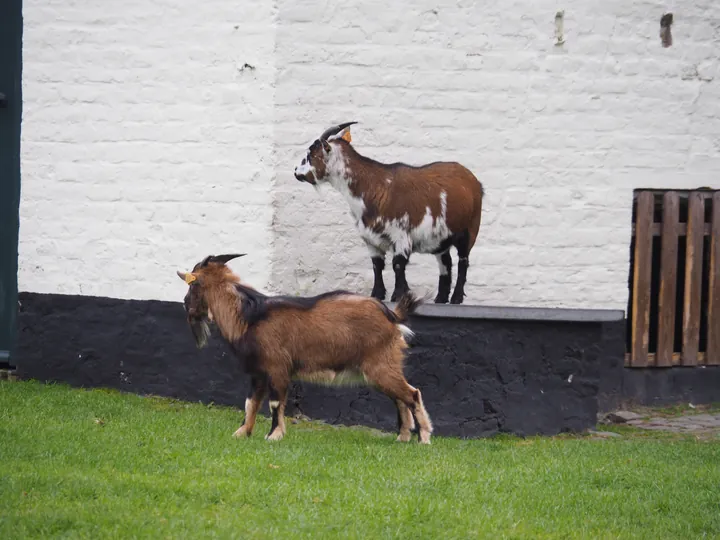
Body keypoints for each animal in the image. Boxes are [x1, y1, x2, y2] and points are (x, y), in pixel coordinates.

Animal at [176, 253, 434, 442]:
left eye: (192, 286)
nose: (185, 305)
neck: (250, 316)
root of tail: (392, 315)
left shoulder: (277, 369)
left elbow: (274, 403)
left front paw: (273, 436)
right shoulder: (258, 373)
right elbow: (250, 403)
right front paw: (241, 434)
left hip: (381, 366)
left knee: (412, 394)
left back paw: (423, 438)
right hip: (381, 369)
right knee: (401, 399)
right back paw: (402, 437)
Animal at [292, 124, 484, 306]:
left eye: (310, 154)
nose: (296, 171)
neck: (374, 186)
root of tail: (474, 181)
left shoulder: (401, 234)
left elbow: (398, 264)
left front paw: (398, 295)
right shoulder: (370, 239)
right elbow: (377, 266)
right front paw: (377, 294)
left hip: (470, 229)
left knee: (463, 261)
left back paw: (456, 298)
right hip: (441, 239)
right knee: (446, 263)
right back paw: (441, 299)